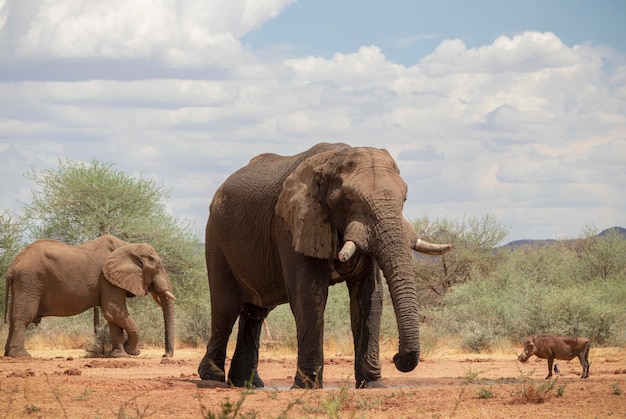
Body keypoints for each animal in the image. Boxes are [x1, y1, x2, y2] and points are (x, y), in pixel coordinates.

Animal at [4, 235, 176, 360]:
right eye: (157, 268)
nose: (165, 356)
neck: (128, 245)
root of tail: (12, 267)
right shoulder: (107, 279)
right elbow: (113, 311)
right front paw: (131, 351)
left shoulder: (110, 279)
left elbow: (113, 318)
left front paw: (119, 355)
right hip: (30, 282)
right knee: (24, 317)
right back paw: (21, 356)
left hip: (22, 284)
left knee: (12, 319)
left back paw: (7, 355)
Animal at [197, 143, 450, 388]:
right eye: (347, 201)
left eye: (404, 200)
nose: (397, 358)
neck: (334, 160)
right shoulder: (293, 224)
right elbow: (310, 295)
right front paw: (307, 386)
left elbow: (369, 296)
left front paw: (373, 385)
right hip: (216, 238)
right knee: (225, 309)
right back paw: (212, 377)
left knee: (256, 312)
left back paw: (248, 383)